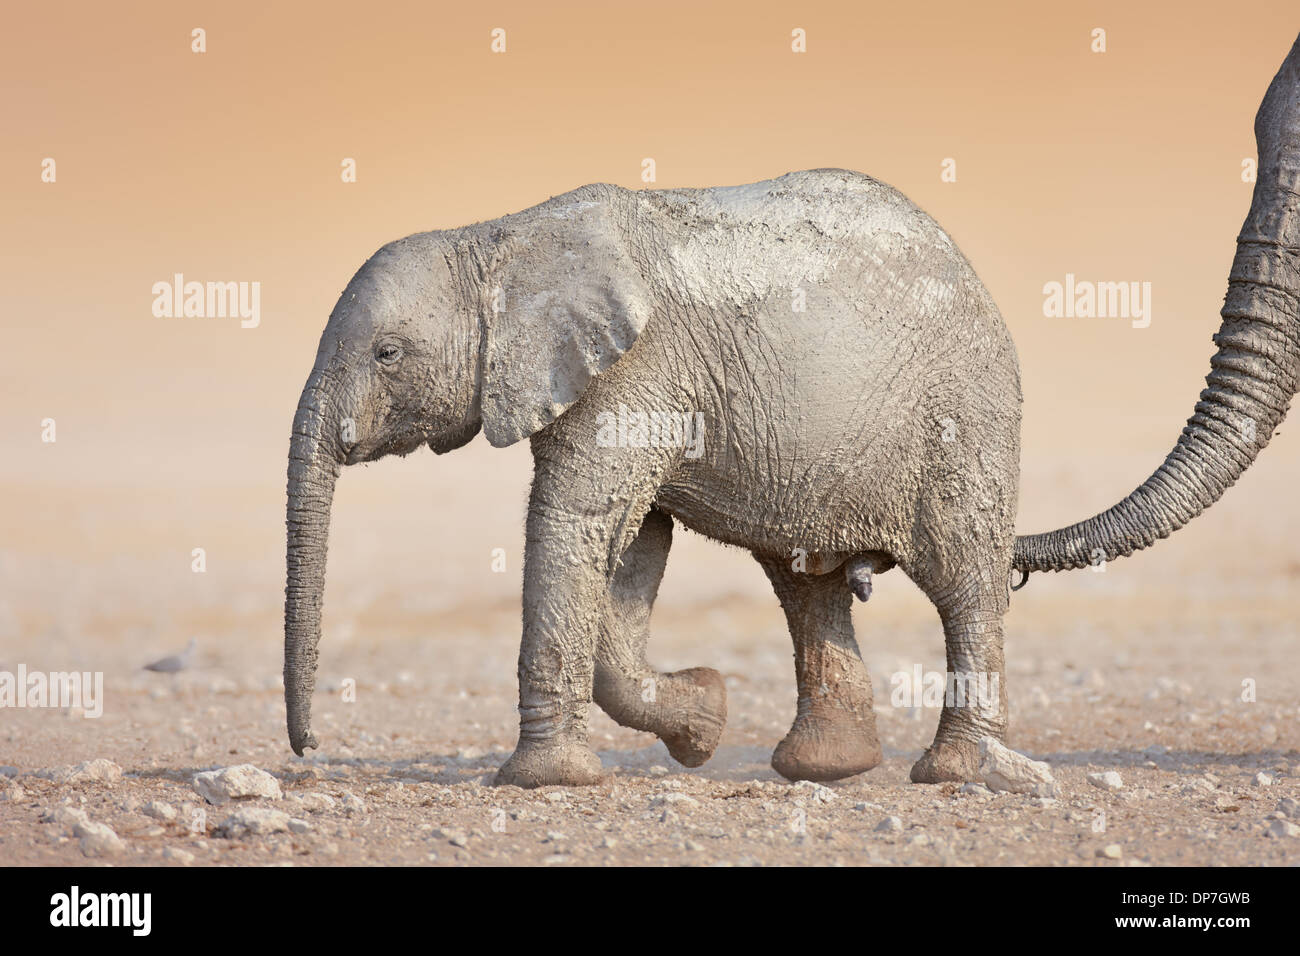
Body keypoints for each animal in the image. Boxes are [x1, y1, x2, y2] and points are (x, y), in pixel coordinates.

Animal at [284, 31, 1300, 790]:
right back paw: (826, 770)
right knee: (807, 580)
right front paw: (702, 718)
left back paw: (962, 776)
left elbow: (575, 525)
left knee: (962, 577)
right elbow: (631, 544)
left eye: (385, 356)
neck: (499, 236)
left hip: (965, 412)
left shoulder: (635, 372)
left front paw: (547, 782)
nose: (309, 750)